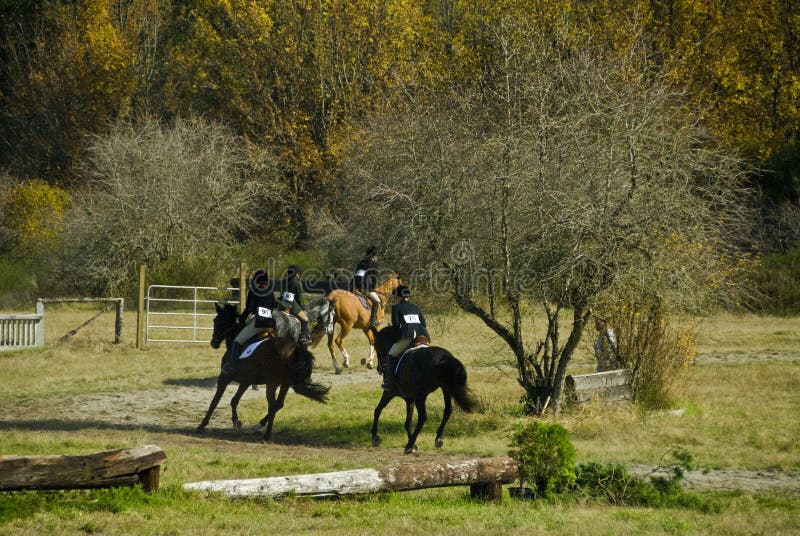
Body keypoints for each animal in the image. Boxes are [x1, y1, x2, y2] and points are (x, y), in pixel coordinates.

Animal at [198, 304, 330, 442]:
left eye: (216, 320)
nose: (213, 342)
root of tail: (295, 348)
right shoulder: (246, 381)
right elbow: (234, 400)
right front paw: (236, 421)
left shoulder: (224, 376)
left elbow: (215, 401)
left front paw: (202, 425)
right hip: (285, 383)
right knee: (278, 404)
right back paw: (260, 426)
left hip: (272, 383)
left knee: (272, 405)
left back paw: (266, 435)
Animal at [368, 324, 476, 454]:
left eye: (376, 345)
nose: (380, 369)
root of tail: (445, 357)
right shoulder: (409, 399)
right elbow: (407, 422)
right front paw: (414, 443)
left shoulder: (390, 393)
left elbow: (377, 410)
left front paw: (375, 437)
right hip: (445, 389)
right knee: (447, 411)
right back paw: (437, 439)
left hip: (422, 396)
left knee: (423, 417)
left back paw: (409, 445)